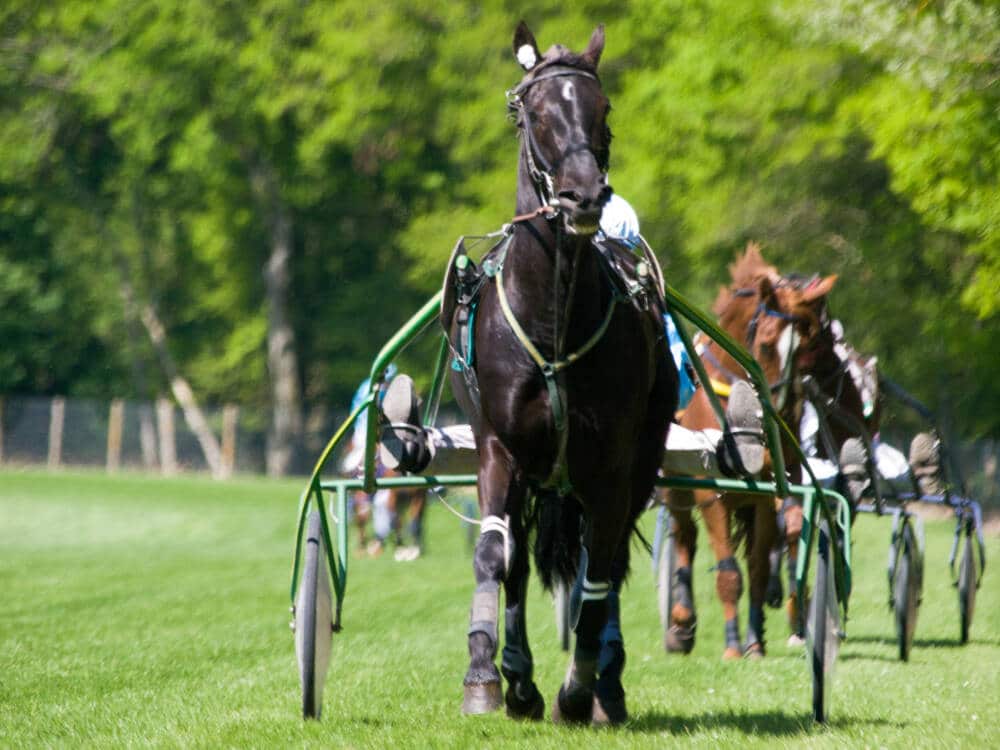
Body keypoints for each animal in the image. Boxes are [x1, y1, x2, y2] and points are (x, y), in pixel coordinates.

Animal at [452, 22, 680, 728]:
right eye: (537, 114)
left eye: (603, 111)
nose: (584, 195)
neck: (552, 320)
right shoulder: (499, 449)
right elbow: (495, 557)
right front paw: (490, 678)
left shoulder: (612, 461)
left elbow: (599, 573)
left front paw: (580, 689)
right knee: (522, 562)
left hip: (636, 460)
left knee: (604, 559)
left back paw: (606, 682)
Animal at [664, 245, 836, 656]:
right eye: (767, 343)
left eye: (804, 345)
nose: (781, 411)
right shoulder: (711, 496)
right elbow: (728, 571)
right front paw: (731, 645)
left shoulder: (765, 496)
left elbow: (760, 565)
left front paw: (755, 641)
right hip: (678, 489)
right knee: (684, 538)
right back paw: (681, 621)